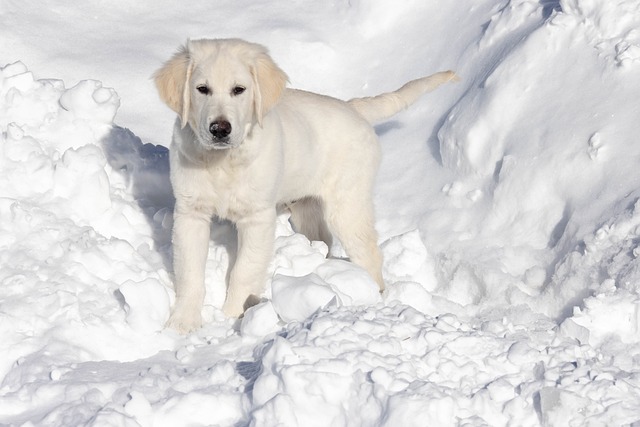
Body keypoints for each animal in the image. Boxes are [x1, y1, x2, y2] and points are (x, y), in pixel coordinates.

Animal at [154, 38, 456, 334]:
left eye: (238, 90)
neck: (222, 161)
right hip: (306, 207)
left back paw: (371, 296)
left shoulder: (257, 217)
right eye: (202, 89)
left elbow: (244, 270)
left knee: (368, 252)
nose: (220, 129)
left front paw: (232, 317)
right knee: (324, 239)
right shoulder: (190, 212)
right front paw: (183, 323)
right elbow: (190, 272)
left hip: (348, 203)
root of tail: (352, 107)